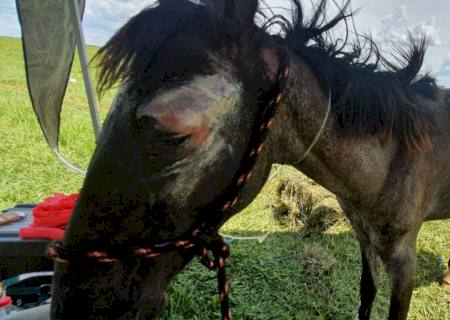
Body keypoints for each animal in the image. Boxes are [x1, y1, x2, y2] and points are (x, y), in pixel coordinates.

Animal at [47, 0, 448, 320]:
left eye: (175, 134)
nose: (72, 304)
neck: (392, 160)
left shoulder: (403, 260)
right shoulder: (364, 238)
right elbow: (366, 296)